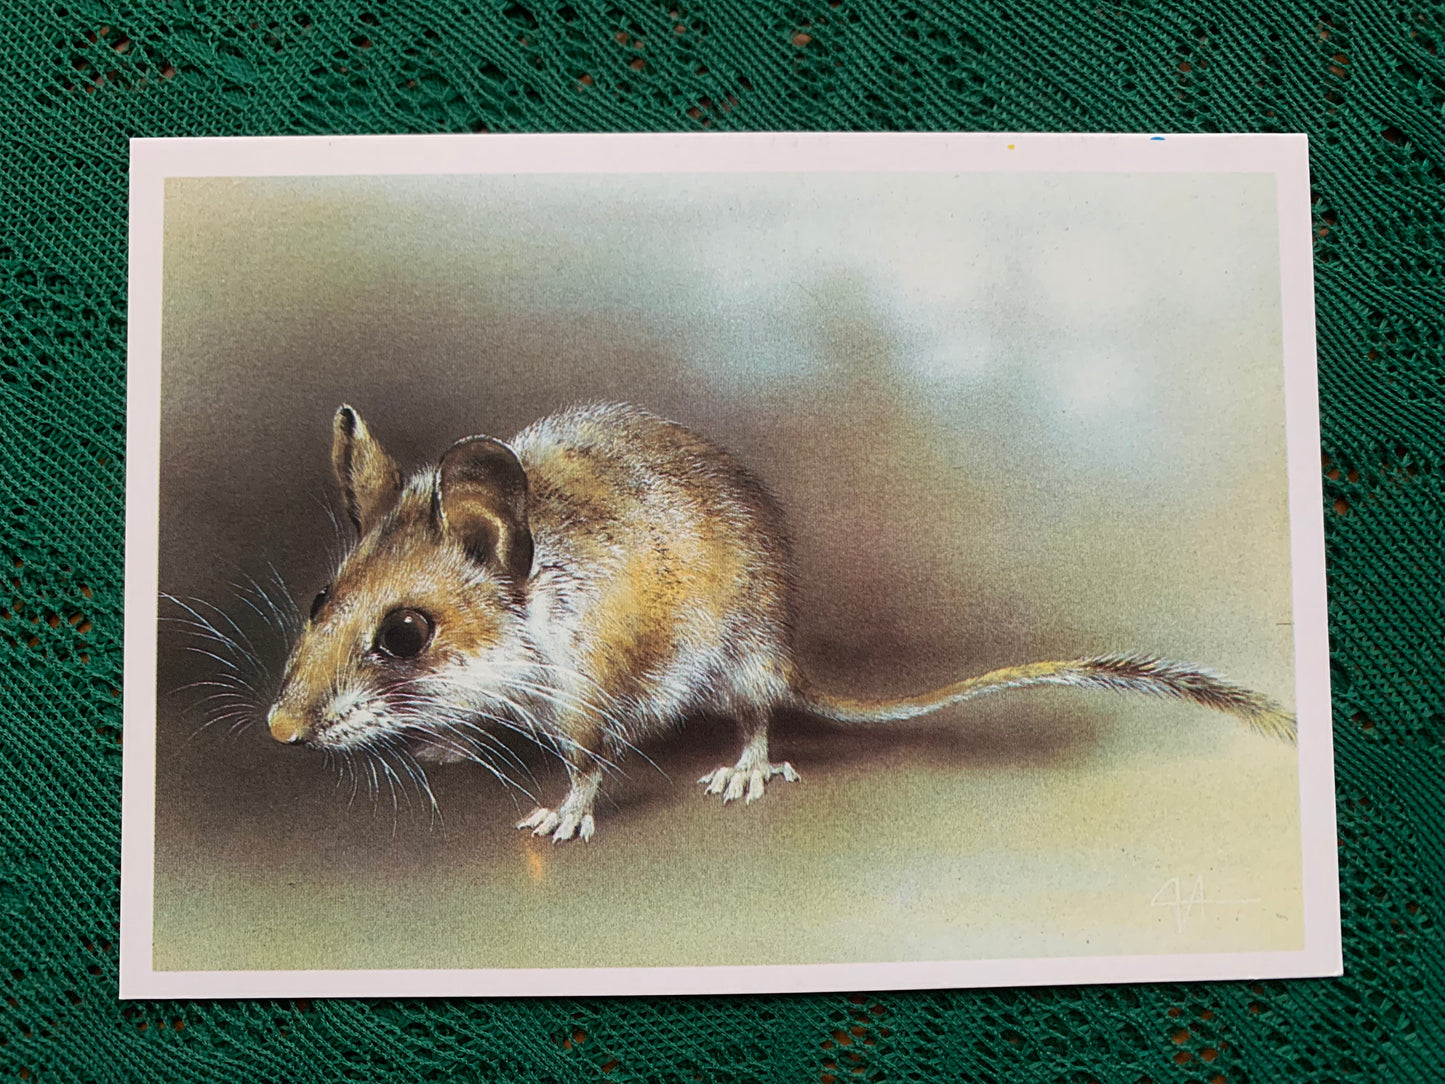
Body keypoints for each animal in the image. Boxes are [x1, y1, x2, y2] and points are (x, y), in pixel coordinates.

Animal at [265, 402, 1296, 843]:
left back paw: (745, 772)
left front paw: (560, 818)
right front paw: (441, 743)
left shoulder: (592, 692)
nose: (276, 731)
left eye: (404, 635)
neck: (537, 604)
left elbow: (588, 767)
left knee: (758, 716)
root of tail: (788, 651)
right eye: (319, 601)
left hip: (735, 663)